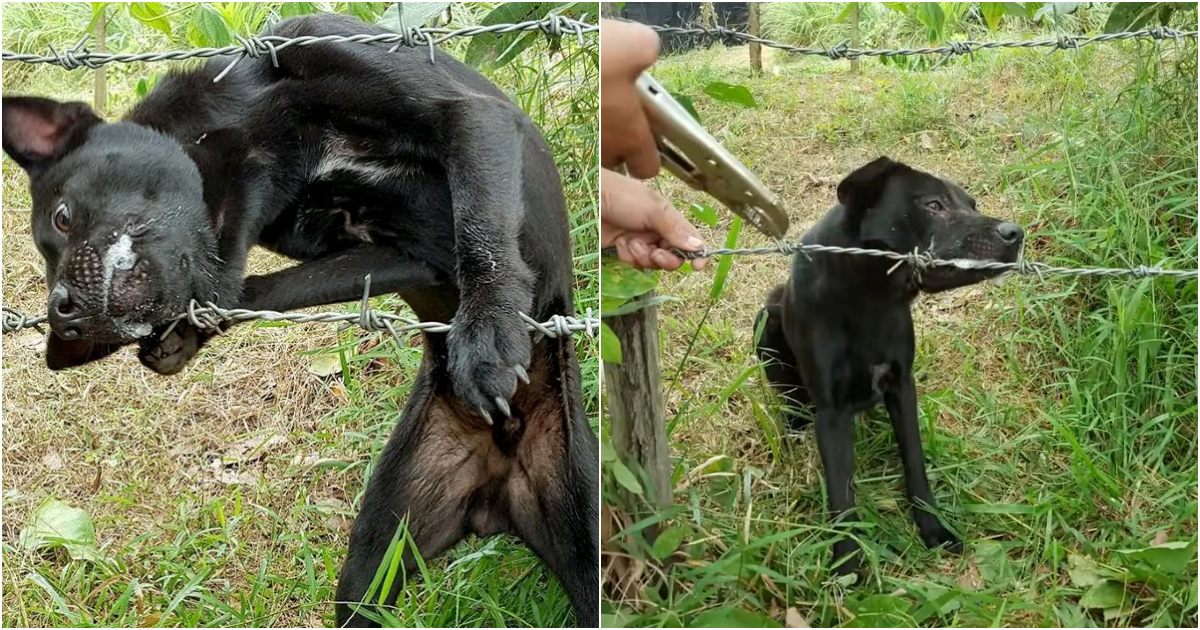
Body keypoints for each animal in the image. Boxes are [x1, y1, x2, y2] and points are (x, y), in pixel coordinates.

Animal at [1, 12, 600, 624]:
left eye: (62, 217)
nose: (63, 316)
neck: (262, 132)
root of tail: (499, 480)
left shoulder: (466, 115)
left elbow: (482, 230)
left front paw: (488, 333)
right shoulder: (395, 254)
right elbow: (264, 289)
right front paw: (187, 332)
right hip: (374, 559)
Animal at [753, 156, 1017, 573]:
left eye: (972, 205)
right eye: (933, 205)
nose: (1015, 233)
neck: (869, 295)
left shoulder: (901, 386)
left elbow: (915, 463)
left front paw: (933, 528)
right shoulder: (831, 412)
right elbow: (841, 495)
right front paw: (846, 567)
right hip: (765, 322)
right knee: (792, 399)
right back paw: (793, 426)